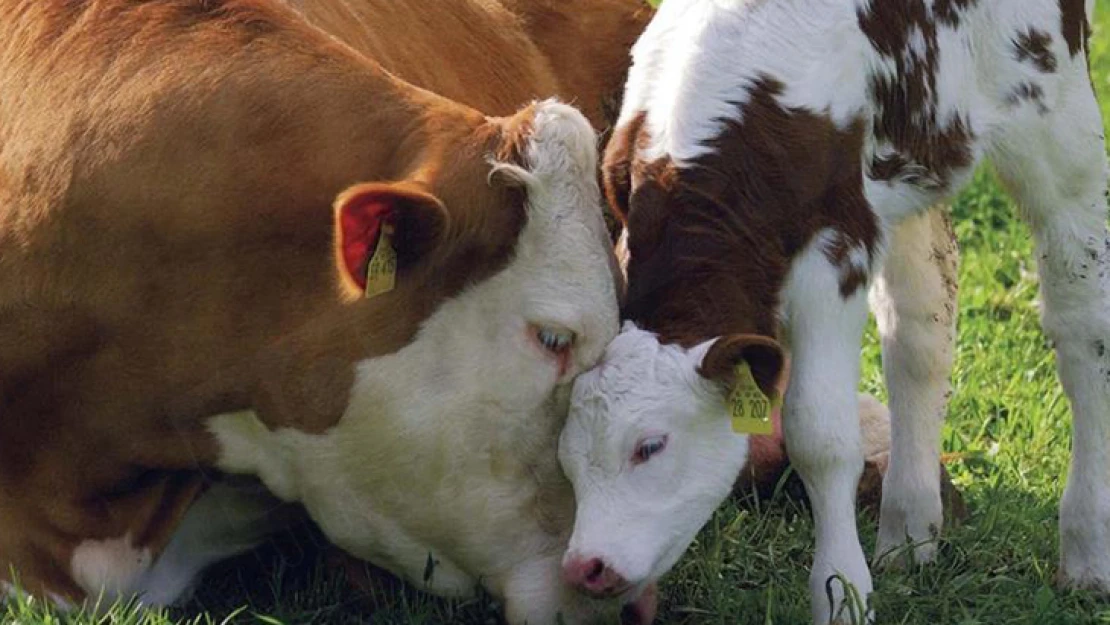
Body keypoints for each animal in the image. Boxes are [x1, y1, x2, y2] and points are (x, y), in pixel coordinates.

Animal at [563, 0, 1110, 621]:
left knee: (1082, 324)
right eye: (565, 461)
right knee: (920, 329)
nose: (586, 567)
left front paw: (841, 592)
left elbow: (819, 438)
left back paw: (1087, 551)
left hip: (1055, 111)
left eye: (650, 446)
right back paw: (909, 531)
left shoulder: (835, 251)